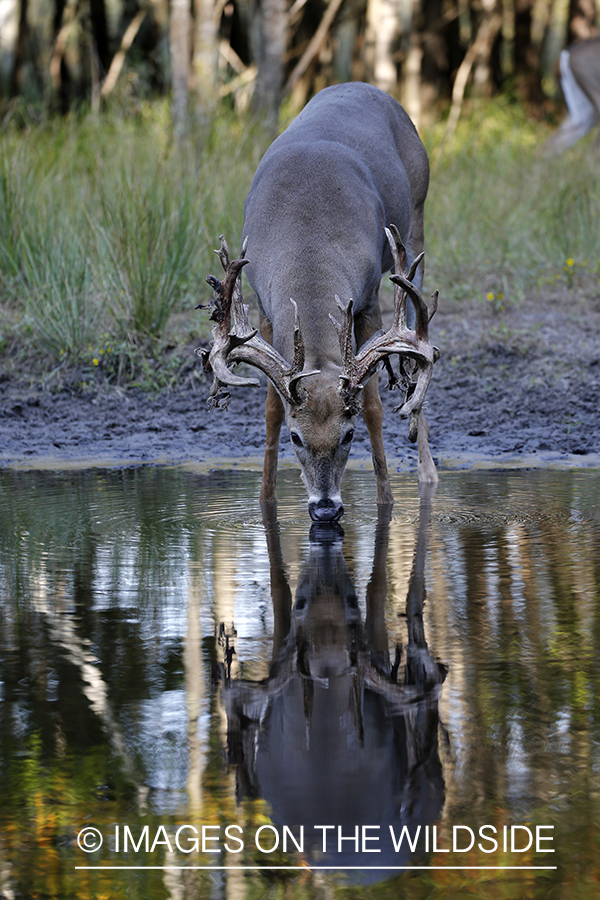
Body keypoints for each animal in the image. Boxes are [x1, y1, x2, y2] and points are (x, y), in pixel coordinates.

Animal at [199, 84, 438, 524]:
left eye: (349, 435)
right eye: (296, 437)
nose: (325, 510)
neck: (308, 244)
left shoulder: (366, 301)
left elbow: (374, 405)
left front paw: (386, 502)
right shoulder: (264, 308)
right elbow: (271, 408)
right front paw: (266, 500)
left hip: (416, 218)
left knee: (416, 356)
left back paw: (428, 471)